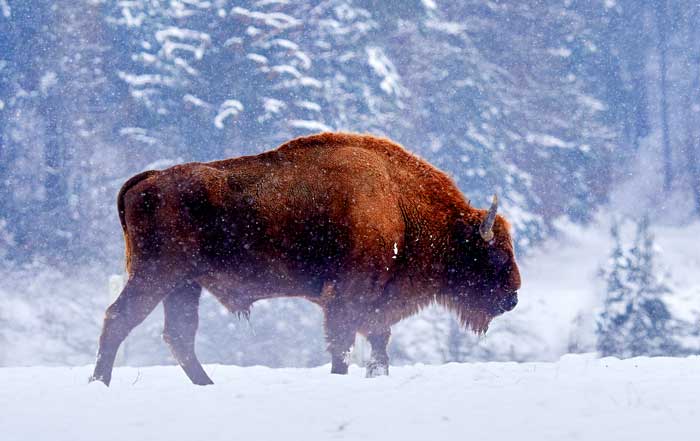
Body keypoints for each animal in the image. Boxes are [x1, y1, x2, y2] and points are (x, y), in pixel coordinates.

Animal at [89, 132, 520, 384]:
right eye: (496, 255)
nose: (513, 297)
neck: (398, 203)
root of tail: (149, 179)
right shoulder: (347, 297)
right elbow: (343, 343)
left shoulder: (375, 299)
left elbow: (378, 340)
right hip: (156, 276)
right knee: (119, 319)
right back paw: (100, 383)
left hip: (184, 285)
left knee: (179, 335)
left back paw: (207, 385)